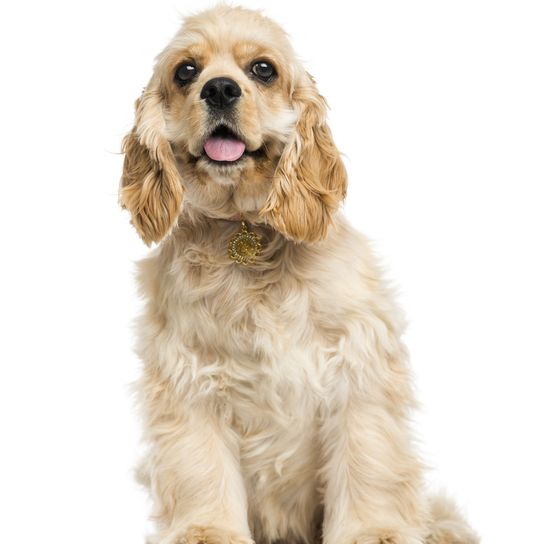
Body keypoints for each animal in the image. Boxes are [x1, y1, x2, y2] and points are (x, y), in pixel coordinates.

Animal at [120, 5, 480, 544]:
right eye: (185, 71)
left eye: (263, 69)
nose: (219, 89)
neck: (244, 233)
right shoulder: (188, 376)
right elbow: (201, 467)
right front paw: (208, 532)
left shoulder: (358, 363)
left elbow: (367, 457)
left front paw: (372, 531)